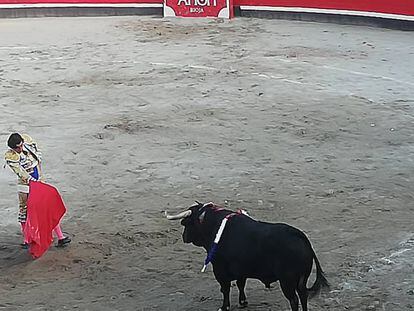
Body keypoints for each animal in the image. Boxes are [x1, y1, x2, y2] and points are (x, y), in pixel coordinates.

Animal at [167, 204, 328, 310]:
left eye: (186, 224)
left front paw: (224, 307)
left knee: (294, 300)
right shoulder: (241, 270)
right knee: (303, 296)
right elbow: (240, 284)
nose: (184, 237)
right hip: (301, 279)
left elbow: (225, 289)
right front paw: (243, 302)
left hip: (287, 281)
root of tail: (299, 235)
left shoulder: (219, 270)